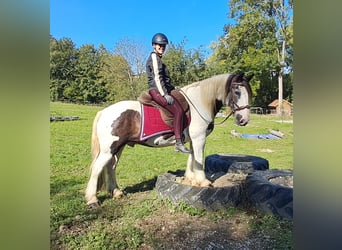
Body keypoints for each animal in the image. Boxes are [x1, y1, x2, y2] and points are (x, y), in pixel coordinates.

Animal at [85, 72, 254, 207]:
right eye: (237, 91)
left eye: (249, 93)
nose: (244, 120)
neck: (200, 103)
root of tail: (104, 112)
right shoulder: (199, 138)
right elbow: (199, 159)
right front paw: (203, 181)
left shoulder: (192, 140)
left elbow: (192, 158)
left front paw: (190, 179)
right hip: (109, 149)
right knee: (97, 168)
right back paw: (92, 199)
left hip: (119, 147)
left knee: (110, 167)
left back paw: (116, 192)